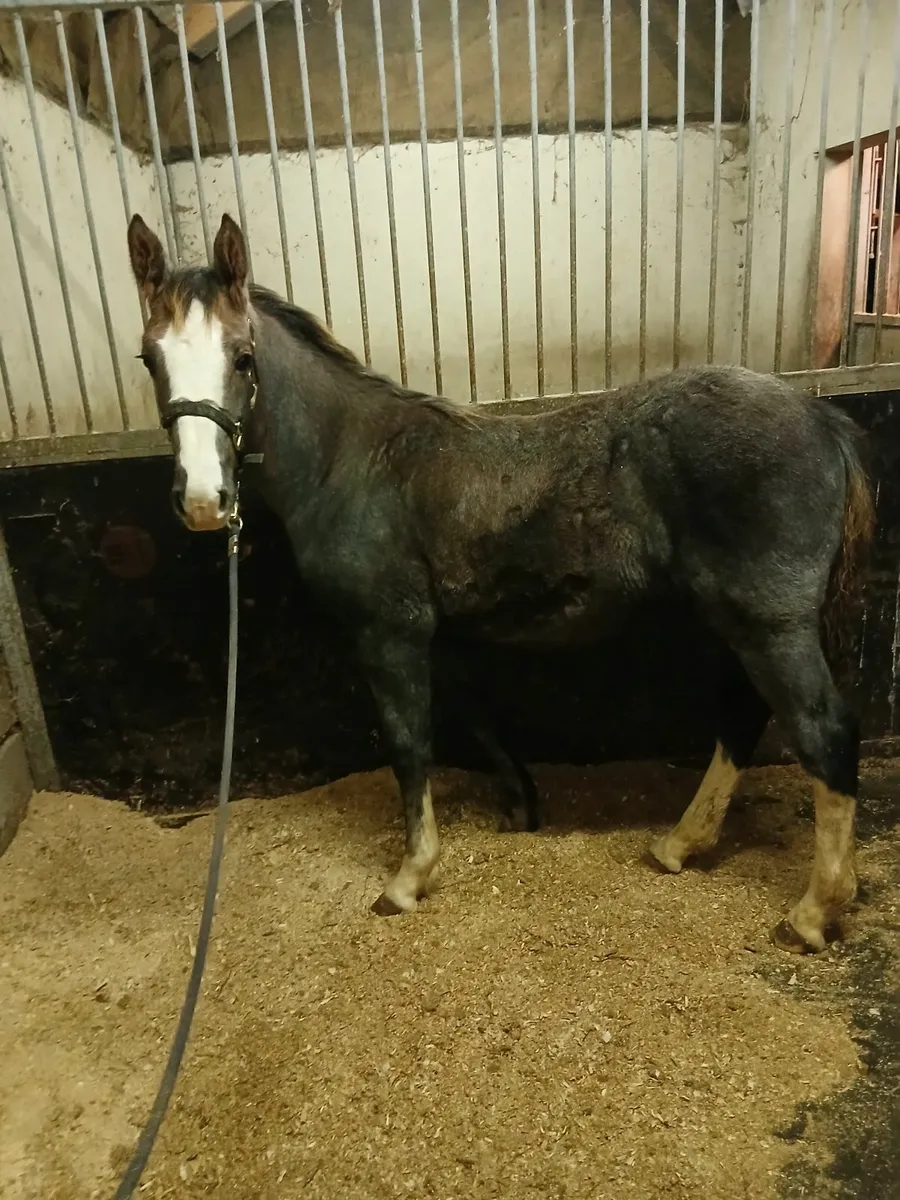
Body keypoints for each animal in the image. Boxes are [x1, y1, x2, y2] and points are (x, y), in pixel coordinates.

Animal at [127, 211, 874, 954]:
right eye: (149, 358)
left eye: (242, 356)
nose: (204, 500)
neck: (356, 462)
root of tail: (820, 418)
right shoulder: (441, 633)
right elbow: (477, 716)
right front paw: (521, 809)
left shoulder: (388, 634)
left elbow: (410, 743)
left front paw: (409, 877)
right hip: (737, 621)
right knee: (743, 714)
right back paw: (679, 846)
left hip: (771, 624)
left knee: (825, 730)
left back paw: (813, 911)